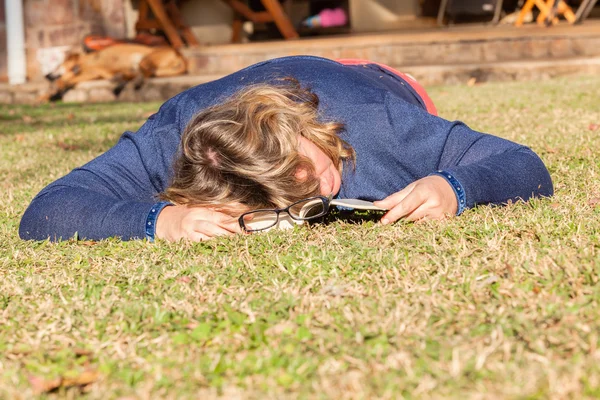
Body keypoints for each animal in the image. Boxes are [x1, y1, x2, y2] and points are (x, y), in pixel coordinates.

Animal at [45, 43, 186, 99]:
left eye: (57, 65)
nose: (48, 75)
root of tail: (179, 54)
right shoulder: (95, 74)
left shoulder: (91, 72)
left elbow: (67, 78)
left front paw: (58, 85)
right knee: (140, 72)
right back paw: (121, 79)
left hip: (144, 58)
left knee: (147, 72)